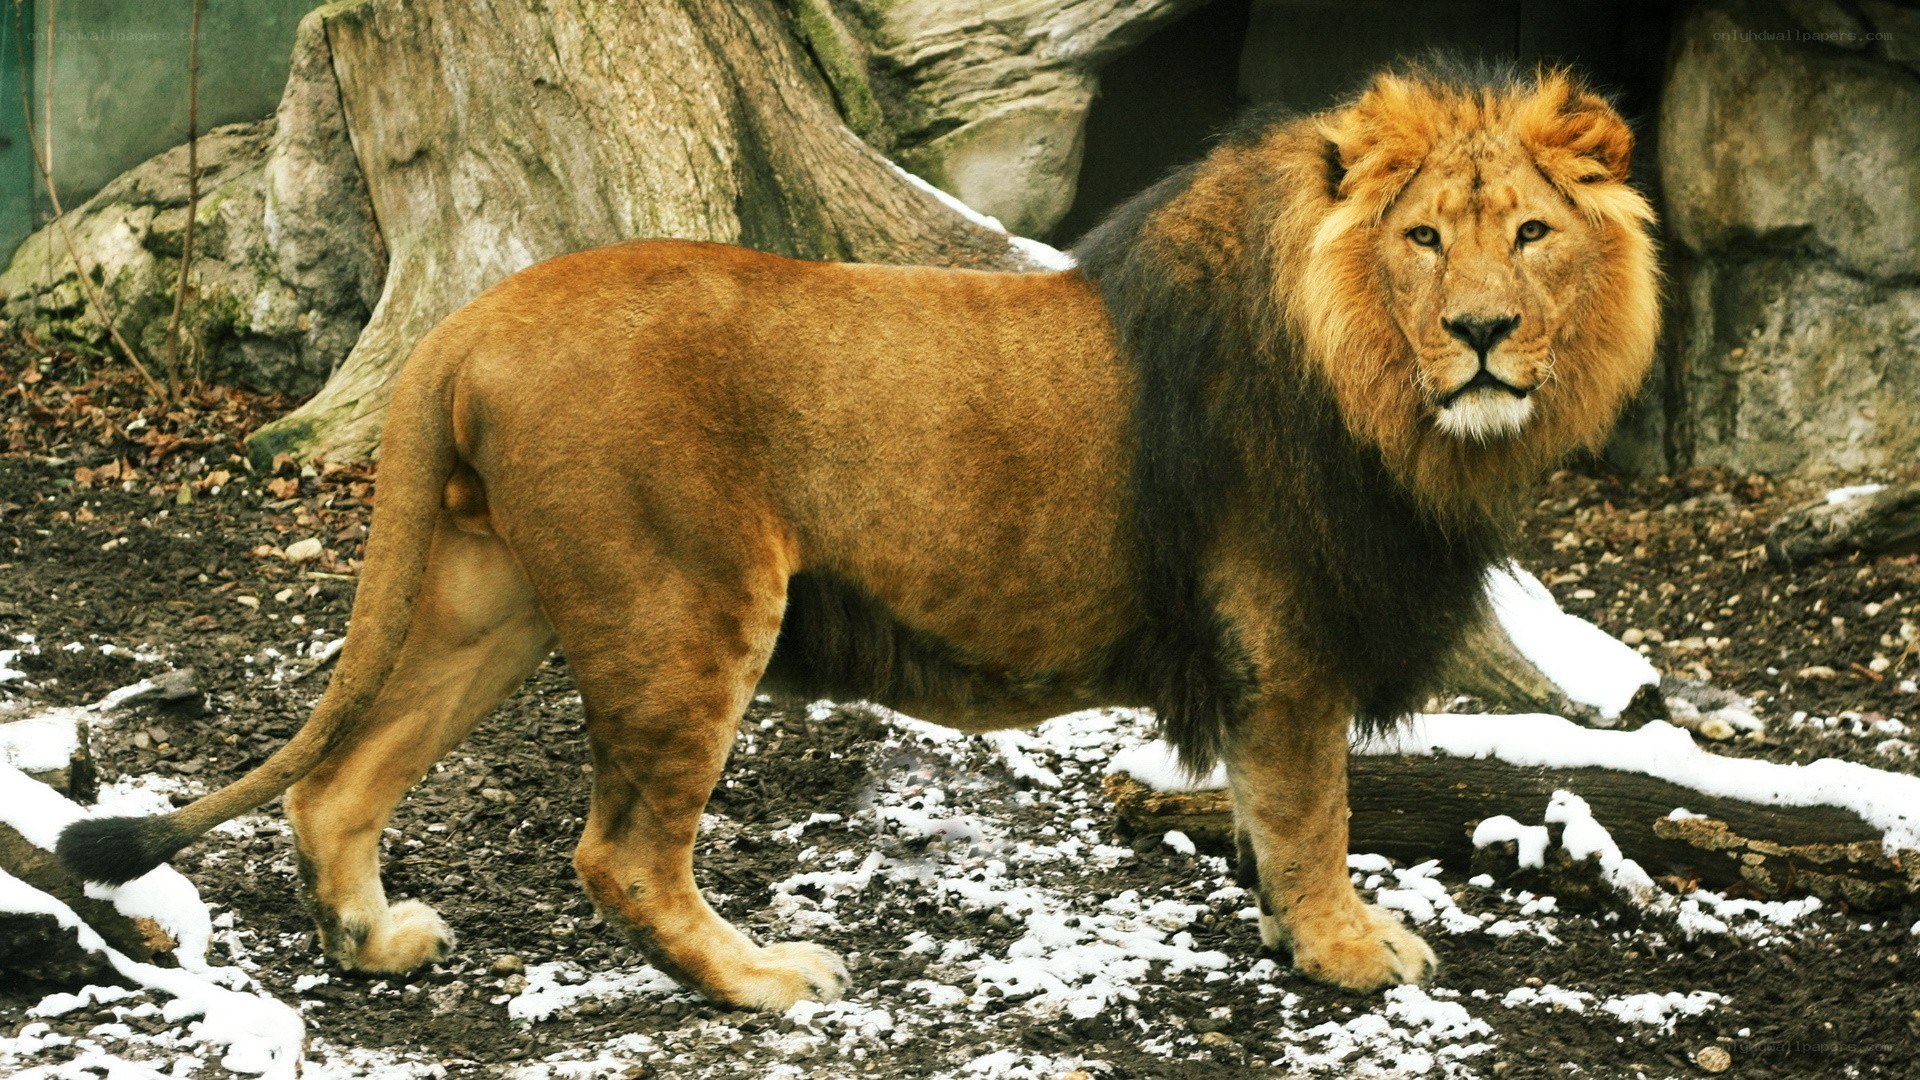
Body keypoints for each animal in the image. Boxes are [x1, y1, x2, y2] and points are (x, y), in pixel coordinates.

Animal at [58, 62, 1658, 1010]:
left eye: (1530, 235)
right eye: (1423, 239)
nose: (1484, 335)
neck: (1385, 395)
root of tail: (475, 314)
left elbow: (1275, 815)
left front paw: (1291, 934)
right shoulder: (1283, 622)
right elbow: (1313, 806)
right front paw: (1348, 955)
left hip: (489, 594)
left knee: (343, 781)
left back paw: (374, 940)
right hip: (685, 604)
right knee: (620, 853)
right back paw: (762, 979)